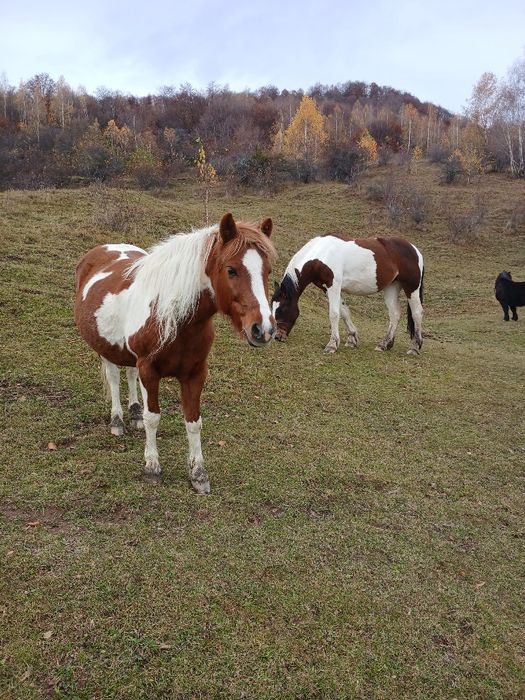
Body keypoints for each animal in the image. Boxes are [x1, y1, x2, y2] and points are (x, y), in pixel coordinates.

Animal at [75, 213, 276, 493]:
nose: (263, 329)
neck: (175, 318)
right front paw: (152, 467)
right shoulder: (149, 370)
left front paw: (199, 474)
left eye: (267, 271)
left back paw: (133, 412)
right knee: (115, 378)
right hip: (105, 348)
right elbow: (153, 418)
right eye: (232, 270)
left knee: (129, 374)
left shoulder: (195, 374)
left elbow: (193, 422)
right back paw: (117, 421)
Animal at [272, 233, 424, 355]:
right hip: (392, 287)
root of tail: (415, 250)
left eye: (281, 310)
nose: (277, 336)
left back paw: (414, 347)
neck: (323, 253)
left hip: (412, 288)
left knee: (417, 313)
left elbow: (334, 314)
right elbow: (344, 312)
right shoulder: (326, 288)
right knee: (395, 314)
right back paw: (384, 344)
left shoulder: (333, 286)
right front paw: (352, 339)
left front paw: (332, 345)